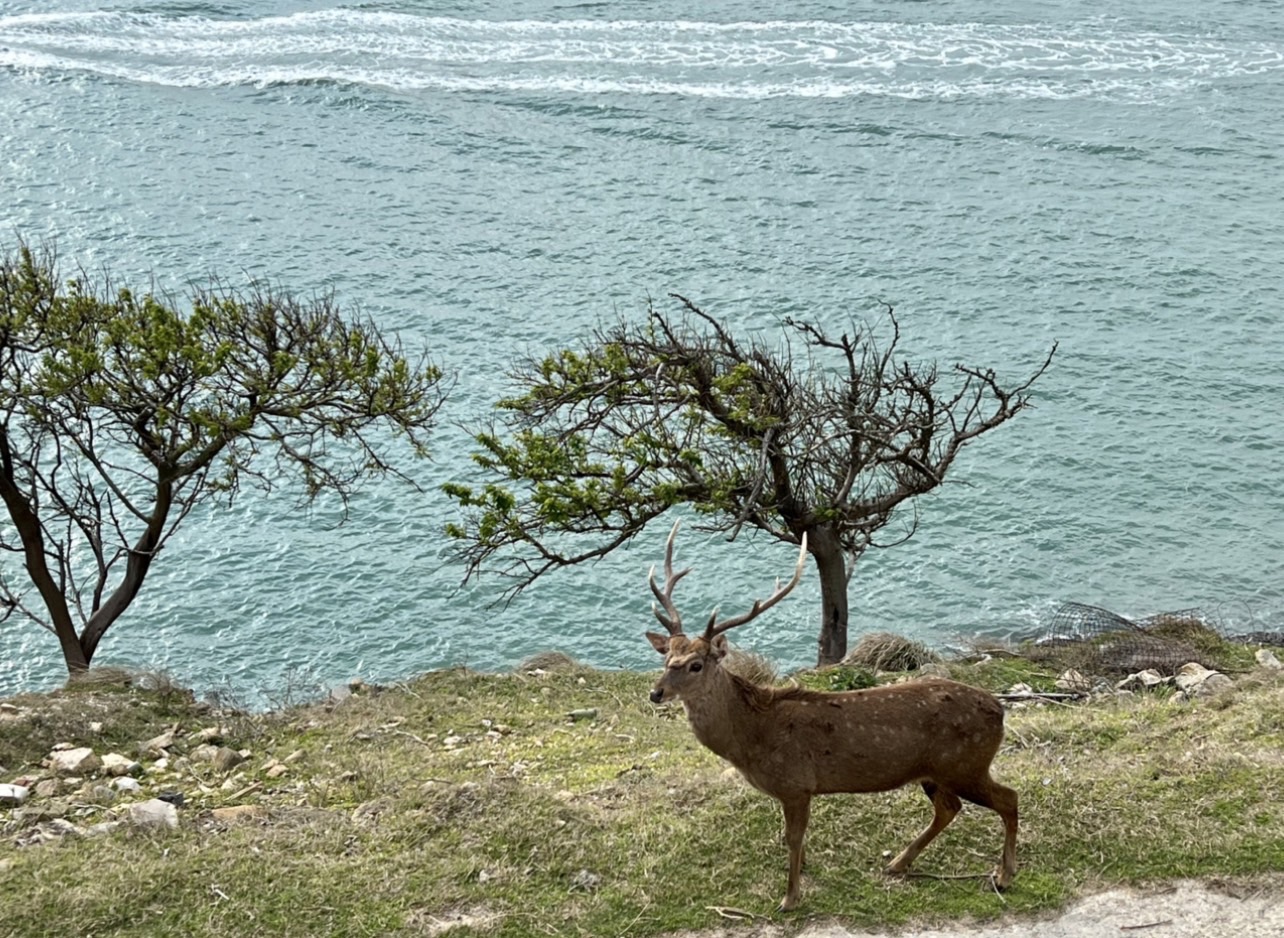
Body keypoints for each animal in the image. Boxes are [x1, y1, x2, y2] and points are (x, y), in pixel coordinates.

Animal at [644, 521, 1018, 912]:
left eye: (696, 665)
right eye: (666, 657)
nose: (656, 693)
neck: (752, 739)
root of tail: (999, 711)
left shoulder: (797, 783)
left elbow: (792, 838)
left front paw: (790, 898)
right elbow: (794, 839)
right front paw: (803, 871)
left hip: (966, 764)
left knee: (1009, 799)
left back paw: (1003, 876)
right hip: (937, 771)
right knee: (950, 807)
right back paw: (899, 863)